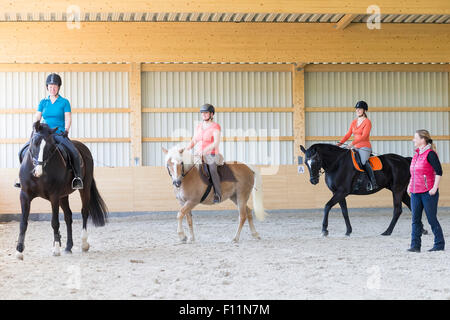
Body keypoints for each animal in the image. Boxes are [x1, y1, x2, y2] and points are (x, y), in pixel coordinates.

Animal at [15, 121, 108, 258]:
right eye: (34, 142)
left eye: (50, 146)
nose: (37, 171)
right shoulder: (25, 195)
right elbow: (23, 223)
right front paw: (19, 251)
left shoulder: (54, 196)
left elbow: (54, 222)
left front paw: (56, 249)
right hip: (63, 196)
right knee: (68, 216)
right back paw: (68, 247)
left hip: (84, 188)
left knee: (84, 212)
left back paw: (84, 244)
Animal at [300, 144, 428, 236]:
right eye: (306, 162)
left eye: (316, 161)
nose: (313, 180)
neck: (337, 164)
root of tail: (404, 160)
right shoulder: (338, 193)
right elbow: (344, 211)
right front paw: (348, 231)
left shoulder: (342, 192)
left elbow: (327, 206)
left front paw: (324, 230)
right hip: (400, 190)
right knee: (410, 206)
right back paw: (422, 230)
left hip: (397, 190)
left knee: (397, 210)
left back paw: (387, 231)